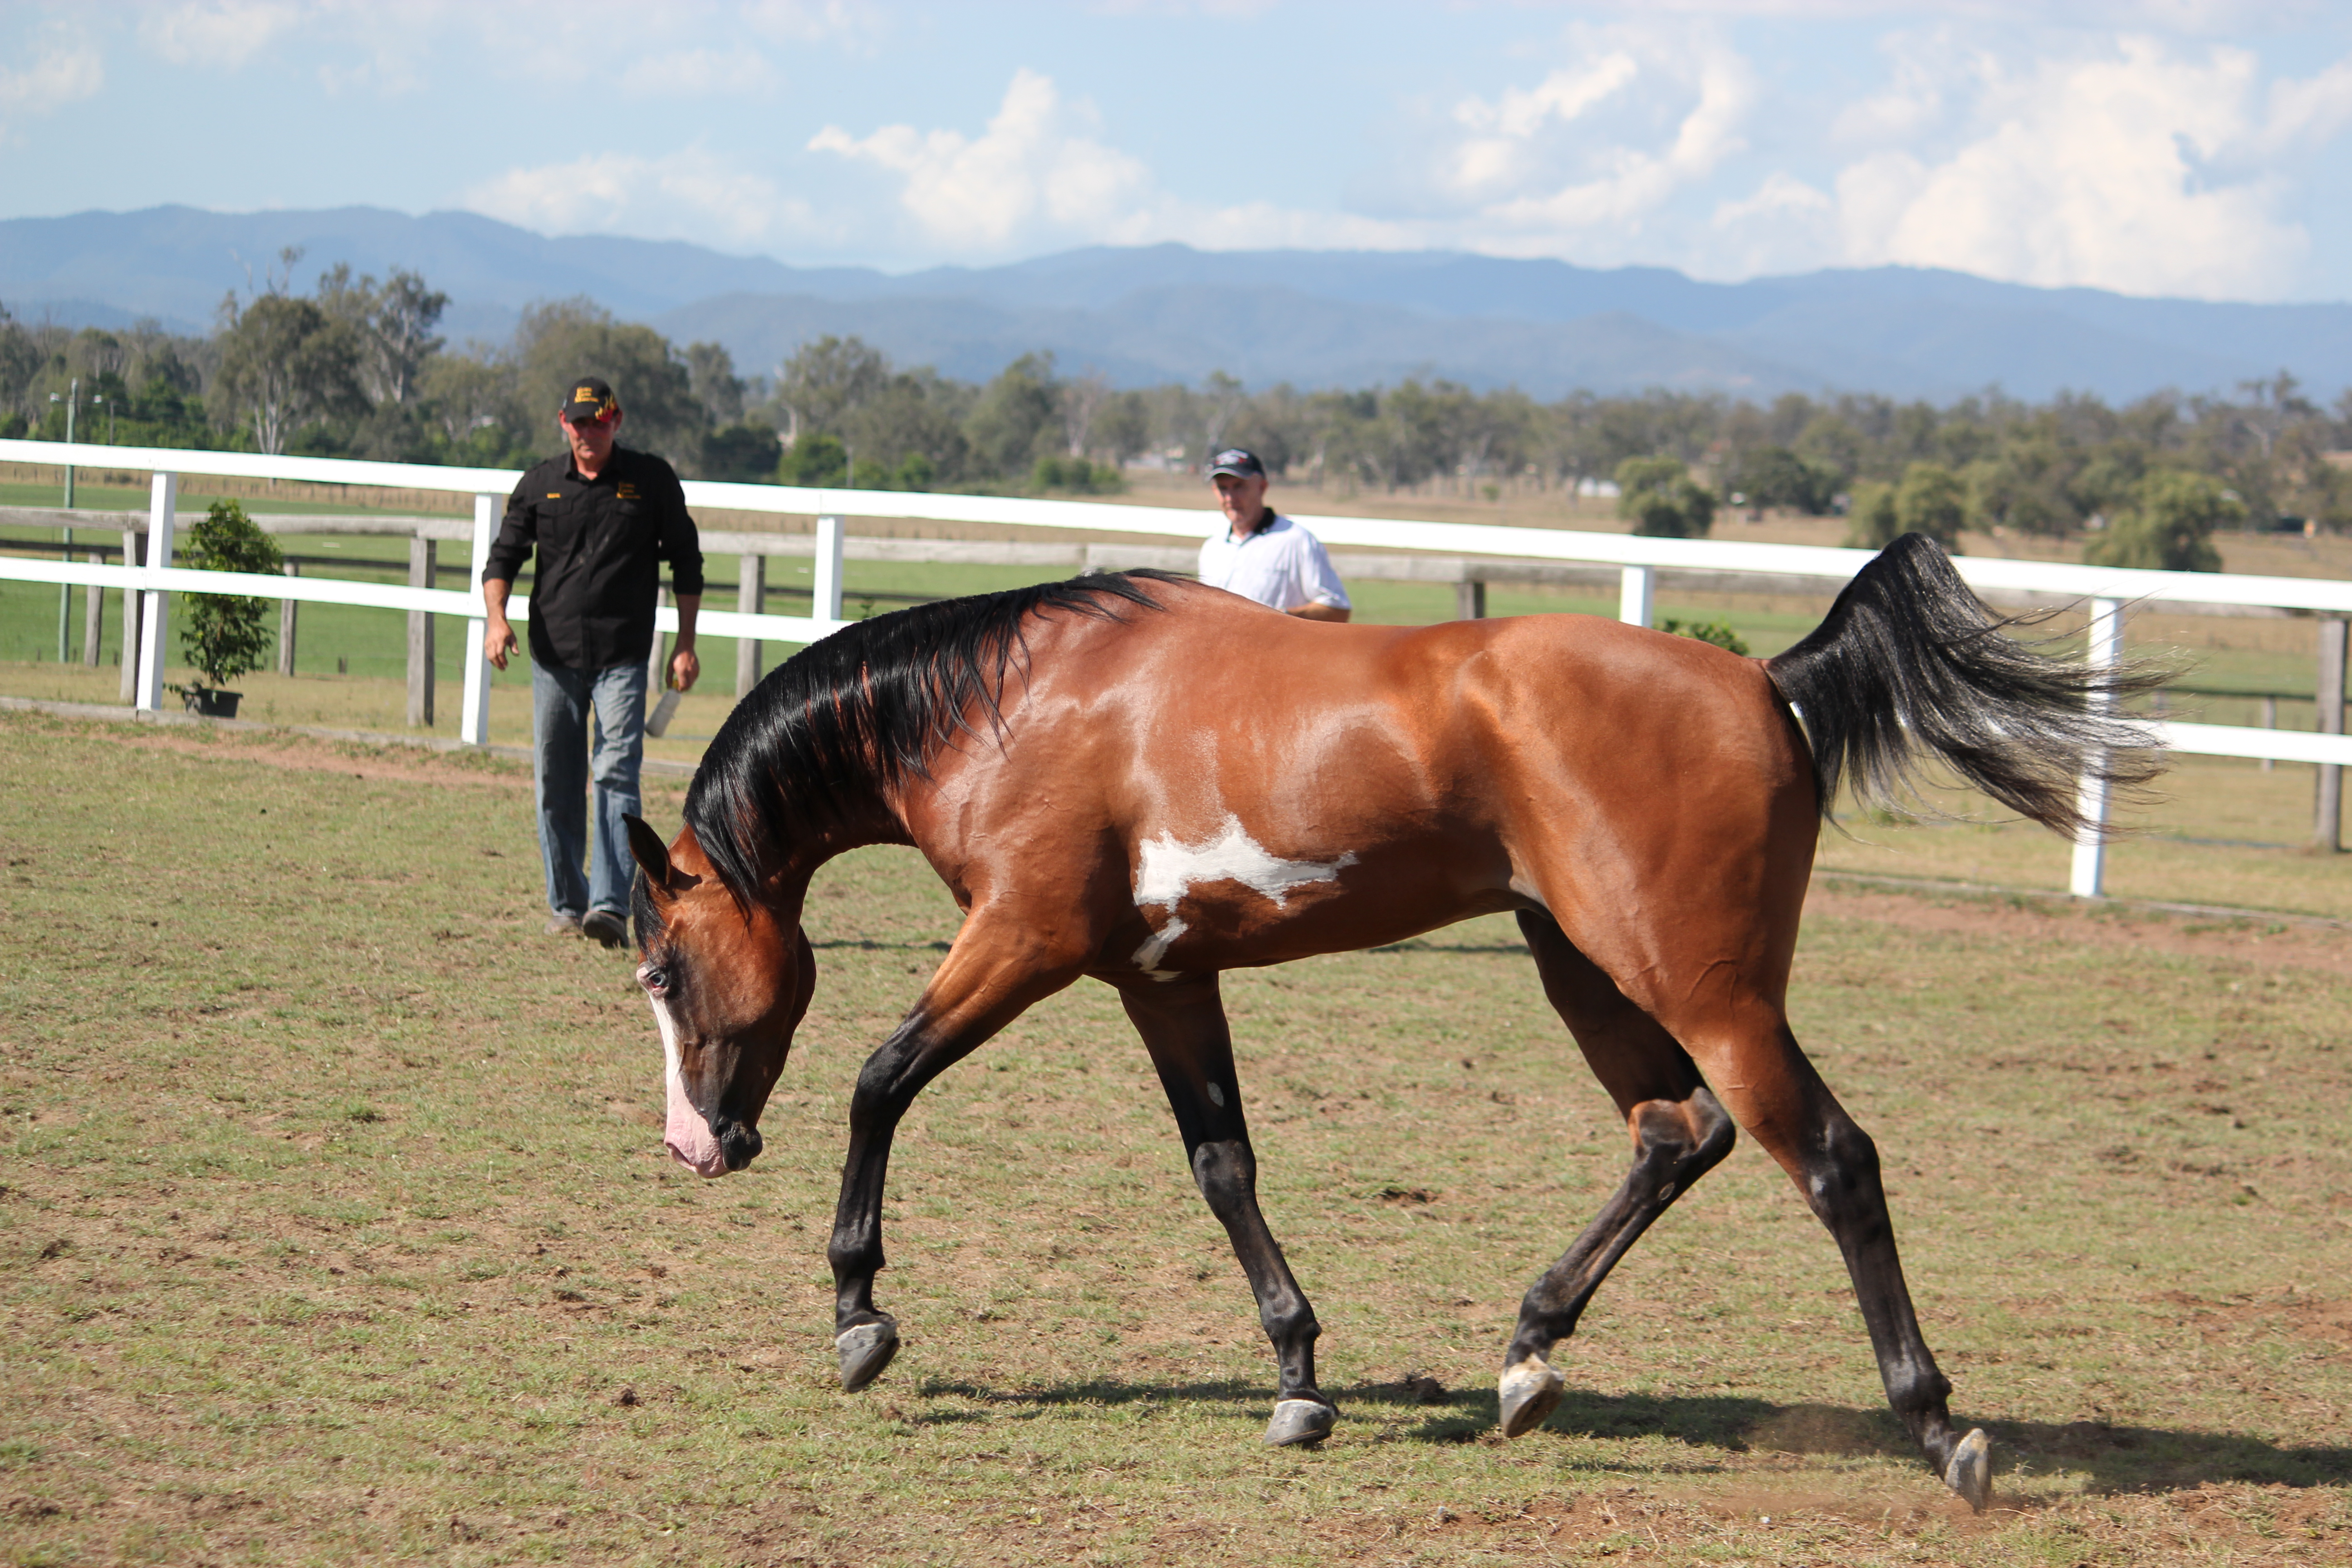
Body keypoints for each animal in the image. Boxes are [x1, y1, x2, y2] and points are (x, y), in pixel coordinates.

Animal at [625, 536, 2164, 1504]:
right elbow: (1223, 1166)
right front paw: (1299, 1375)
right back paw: (1528, 1354)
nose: (699, 1144)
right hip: (1584, 967)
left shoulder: (1024, 944)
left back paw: (1939, 1425)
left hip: (1705, 988)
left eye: (659, 971)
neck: (1011, 706)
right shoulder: (1161, 981)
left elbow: (879, 1081)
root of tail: (1762, 682)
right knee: (1679, 1131)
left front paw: (859, 1314)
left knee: (1830, 1158)